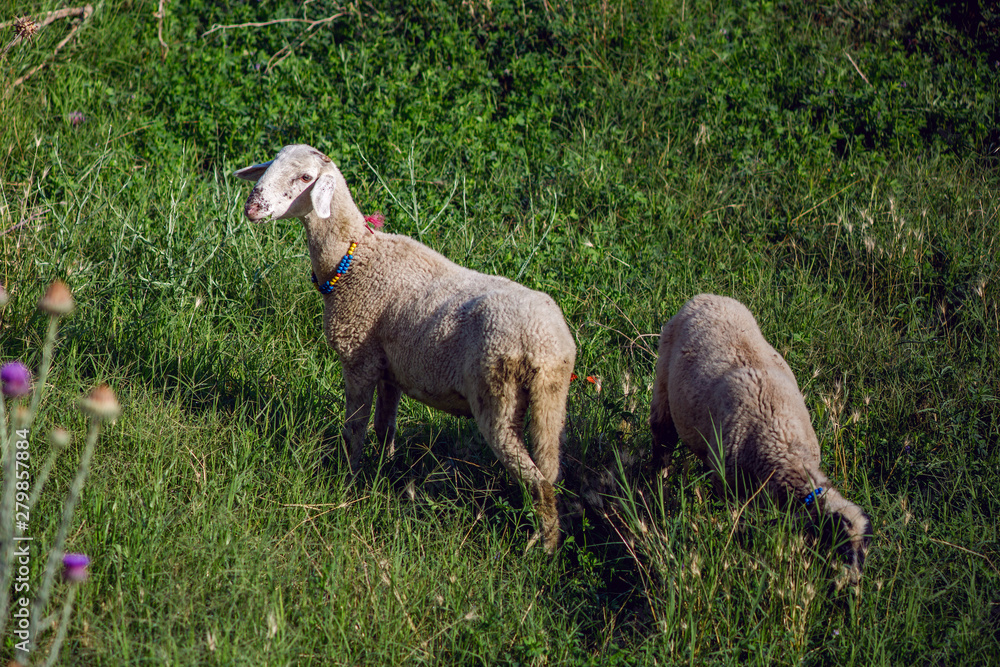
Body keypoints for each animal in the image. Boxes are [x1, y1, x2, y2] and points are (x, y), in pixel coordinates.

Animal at [235, 144, 576, 553]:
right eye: (270, 165)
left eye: (305, 178)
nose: (252, 207)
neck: (355, 257)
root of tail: (548, 345)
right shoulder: (389, 370)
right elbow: (386, 428)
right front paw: (385, 472)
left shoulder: (359, 358)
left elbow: (354, 429)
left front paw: (348, 482)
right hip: (550, 402)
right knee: (550, 472)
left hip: (497, 398)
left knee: (536, 481)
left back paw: (542, 550)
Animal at [649, 294, 872, 576]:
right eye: (839, 546)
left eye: (864, 552)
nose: (853, 581)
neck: (783, 446)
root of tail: (708, 296)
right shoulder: (729, 488)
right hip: (663, 389)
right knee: (662, 440)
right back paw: (659, 484)